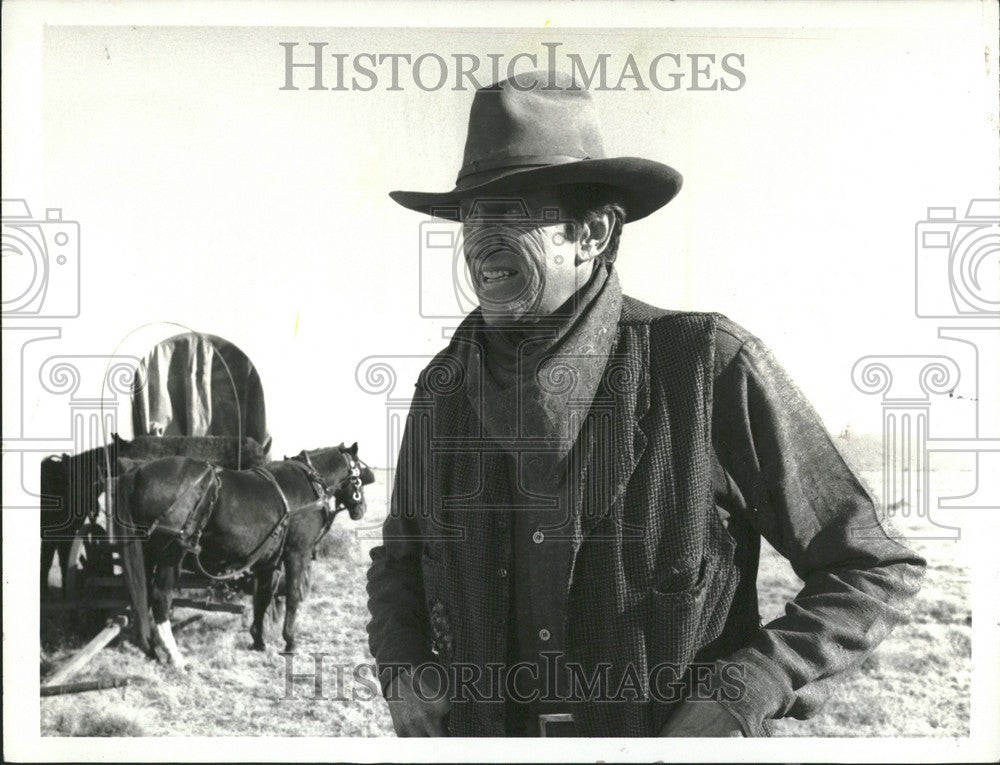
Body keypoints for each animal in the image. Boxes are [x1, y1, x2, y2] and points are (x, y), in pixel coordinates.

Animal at [113, 442, 372, 668]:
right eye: (358, 472)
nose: (362, 509)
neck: (309, 481)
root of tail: (137, 472)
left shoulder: (268, 561)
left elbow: (263, 597)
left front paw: (258, 640)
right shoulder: (297, 553)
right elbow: (292, 596)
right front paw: (290, 641)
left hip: (147, 554)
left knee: (143, 596)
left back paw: (151, 648)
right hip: (170, 554)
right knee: (160, 597)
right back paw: (174, 655)